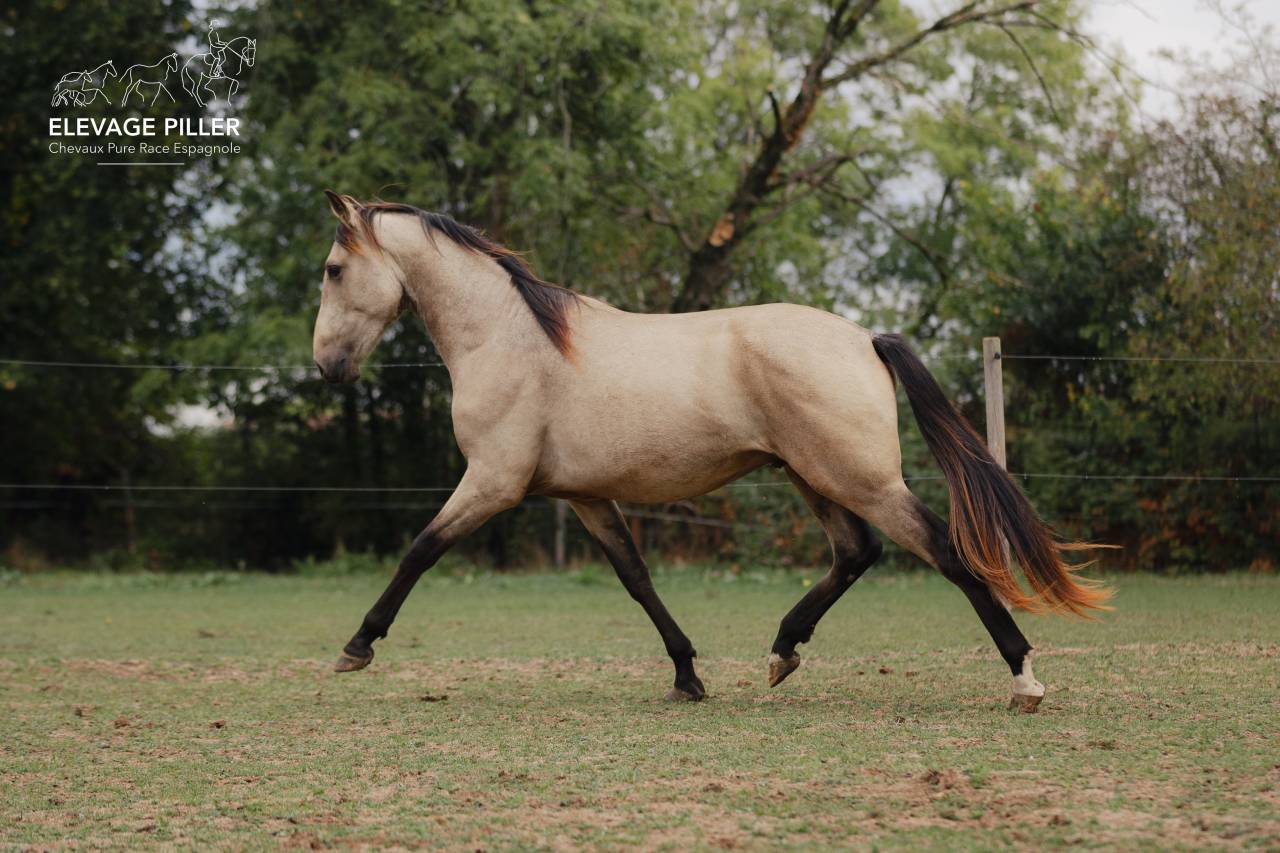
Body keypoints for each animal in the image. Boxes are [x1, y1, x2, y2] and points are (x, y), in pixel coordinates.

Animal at [311, 191, 1112, 712]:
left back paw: (1024, 677)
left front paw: (357, 645)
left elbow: (420, 549)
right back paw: (783, 652)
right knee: (856, 553)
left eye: (332, 270)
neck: (508, 339)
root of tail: (864, 337)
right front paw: (687, 674)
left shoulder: (492, 483)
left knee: (944, 552)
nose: (327, 367)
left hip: (859, 478)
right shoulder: (585, 496)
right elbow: (636, 578)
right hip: (812, 474)